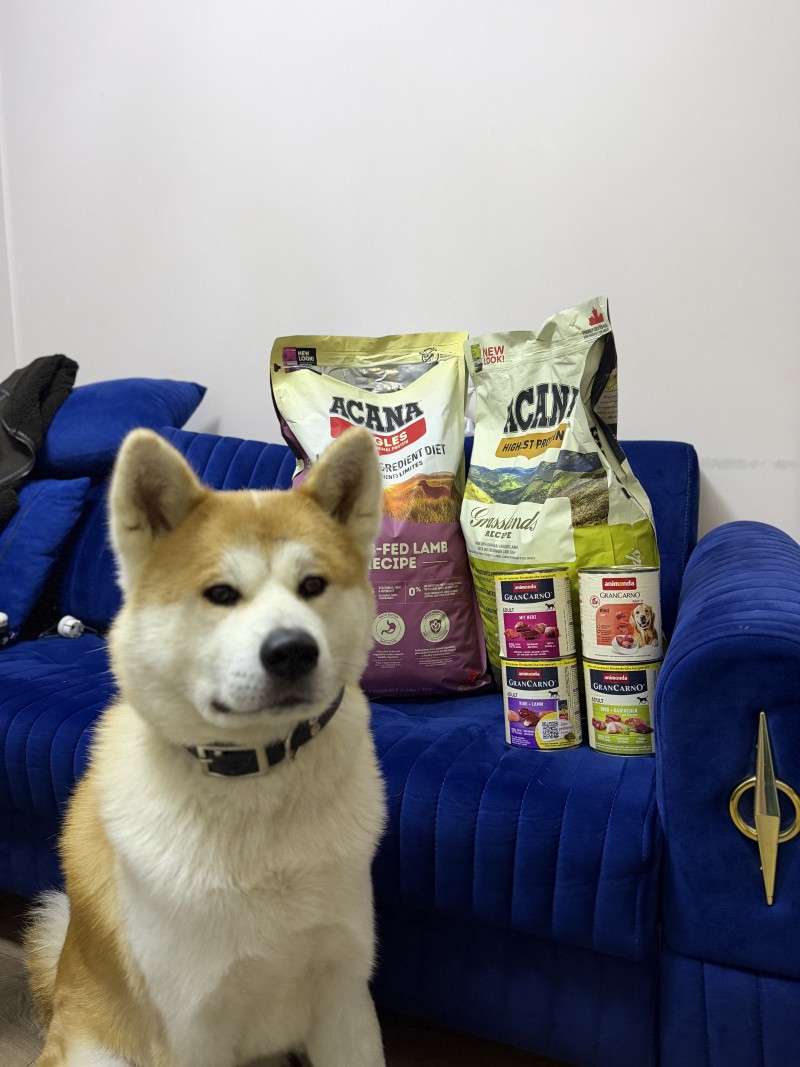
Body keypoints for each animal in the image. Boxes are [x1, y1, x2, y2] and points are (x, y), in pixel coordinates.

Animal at [25, 427, 388, 1067]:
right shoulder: (193, 1028)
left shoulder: (345, 999)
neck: (255, 781)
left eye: (313, 586)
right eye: (221, 593)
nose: (292, 650)